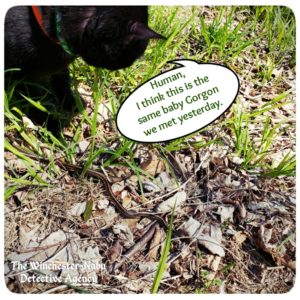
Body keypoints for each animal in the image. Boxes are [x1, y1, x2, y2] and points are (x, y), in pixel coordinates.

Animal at [5, 6, 164, 126]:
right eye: (126, 59)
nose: (125, 66)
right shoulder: (22, 73)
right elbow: (31, 99)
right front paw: (48, 122)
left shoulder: (60, 66)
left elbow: (62, 81)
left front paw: (71, 102)